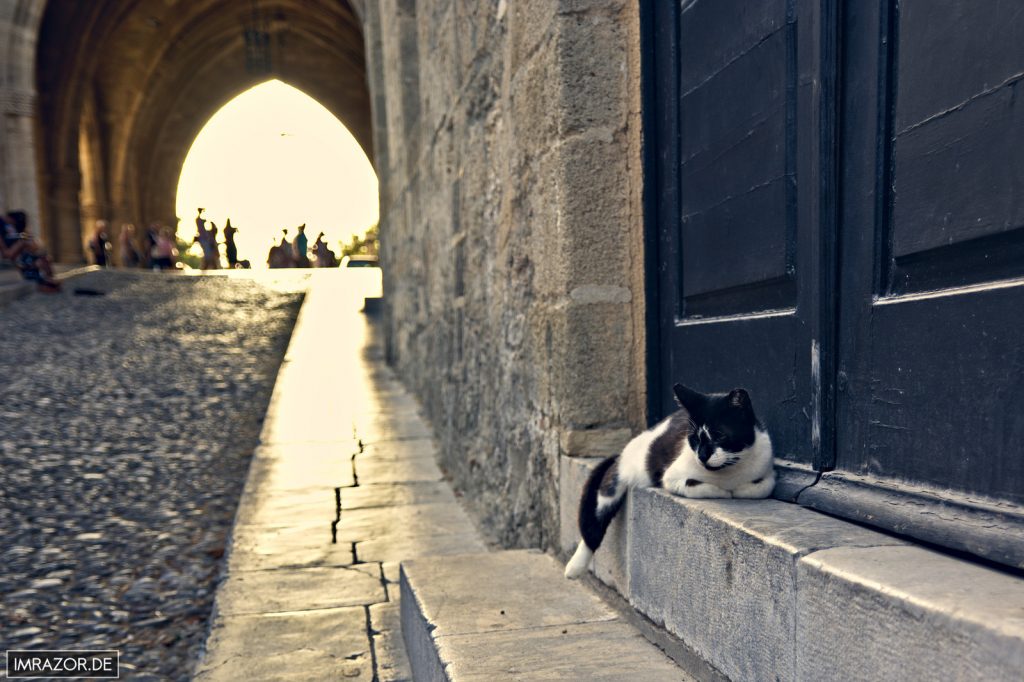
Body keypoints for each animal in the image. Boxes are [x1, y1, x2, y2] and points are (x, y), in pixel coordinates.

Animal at [565, 378, 770, 577]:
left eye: (720, 435)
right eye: (695, 439)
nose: (702, 456)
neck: (726, 472)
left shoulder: (767, 473)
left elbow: (758, 488)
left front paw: (738, 489)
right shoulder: (671, 477)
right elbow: (699, 486)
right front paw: (724, 492)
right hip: (622, 475)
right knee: (596, 517)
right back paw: (575, 567)